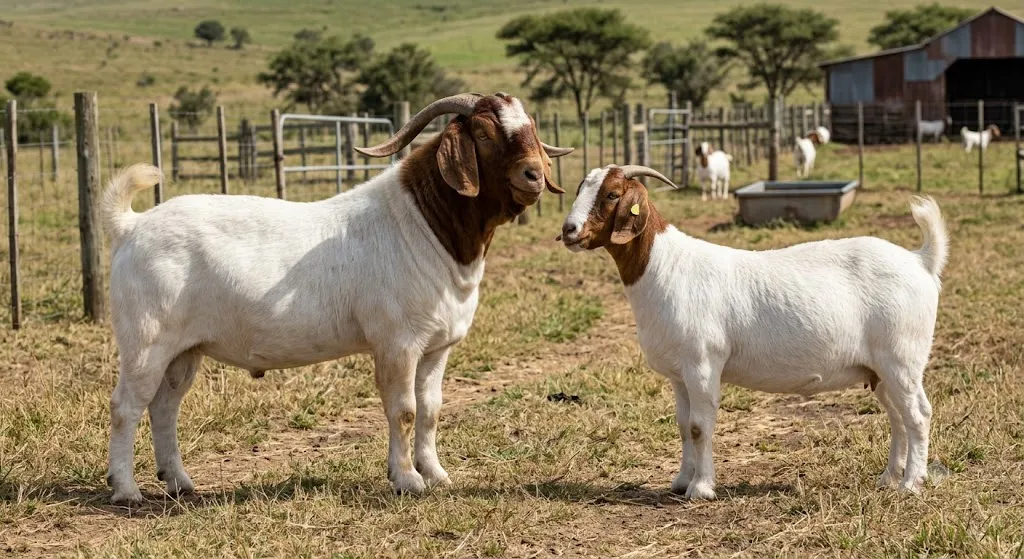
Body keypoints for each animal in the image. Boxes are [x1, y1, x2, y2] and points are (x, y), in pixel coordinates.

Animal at [100, 93, 573, 504]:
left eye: (531, 129)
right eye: (483, 132)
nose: (534, 176)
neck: (422, 226)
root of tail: (131, 226)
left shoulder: (437, 347)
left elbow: (431, 409)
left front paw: (437, 474)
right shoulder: (397, 343)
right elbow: (403, 410)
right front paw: (407, 479)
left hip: (184, 351)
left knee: (164, 407)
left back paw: (179, 481)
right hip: (146, 342)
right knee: (126, 406)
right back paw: (126, 490)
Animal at [559, 164, 948, 499]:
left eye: (611, 194)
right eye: (580, 188)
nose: (568, 231)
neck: (663, 267)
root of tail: (921, 261)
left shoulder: (703, 364)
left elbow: (700, 426)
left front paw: (701, 488)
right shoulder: (678, 374)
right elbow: (683, 425)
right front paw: (681, 480)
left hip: (902, 359)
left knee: (918, 415)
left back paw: (911, 483)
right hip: (879, 370)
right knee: (897, 417)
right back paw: (888, 478)